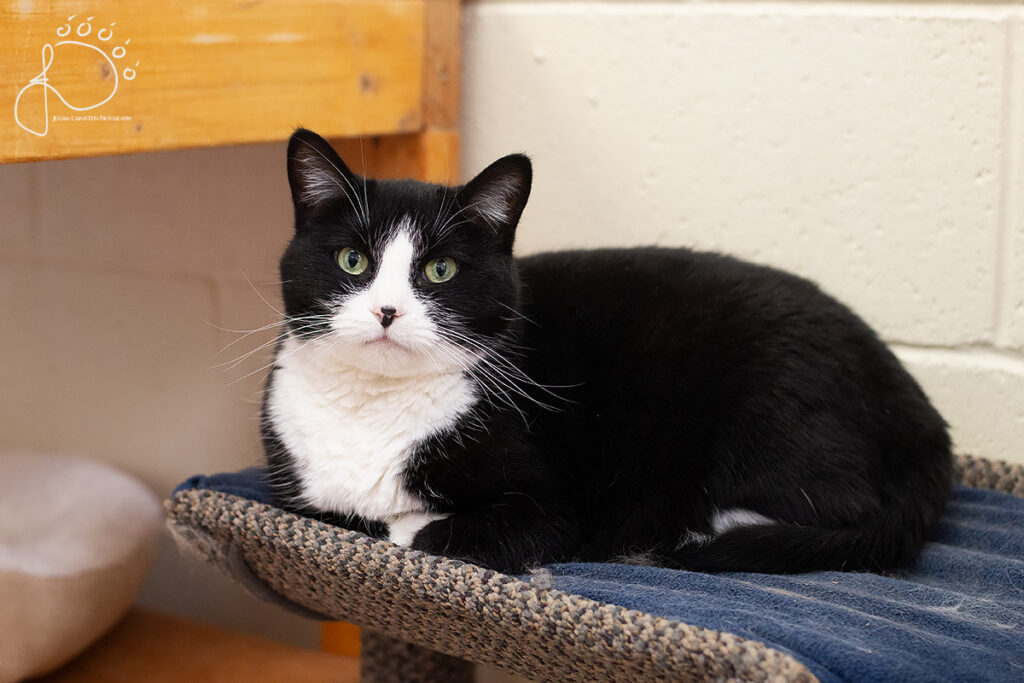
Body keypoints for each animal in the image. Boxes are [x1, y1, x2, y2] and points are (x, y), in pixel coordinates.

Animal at [261, 128, 953, 575]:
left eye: (440, 270)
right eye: (353, 260)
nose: (387, 311)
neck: (372, 407)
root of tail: (921, 417)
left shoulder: (549, 507)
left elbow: (431, 529)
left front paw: (405, 524)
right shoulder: (297, 493)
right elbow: (334, 510)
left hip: (775, 399)